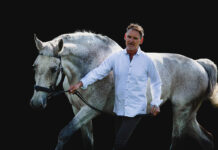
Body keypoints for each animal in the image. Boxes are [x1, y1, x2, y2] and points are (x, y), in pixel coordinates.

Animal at [30, 31, 218, 149]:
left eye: (54, 69)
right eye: (34, 66)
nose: (36, 103)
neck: (91, 65)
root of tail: (199, 65)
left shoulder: (90, 110)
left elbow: (64, 134)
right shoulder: (77, 109)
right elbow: (87, 142)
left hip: (181, 111)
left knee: (177, 141)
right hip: (189, 115)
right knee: (207, 139)